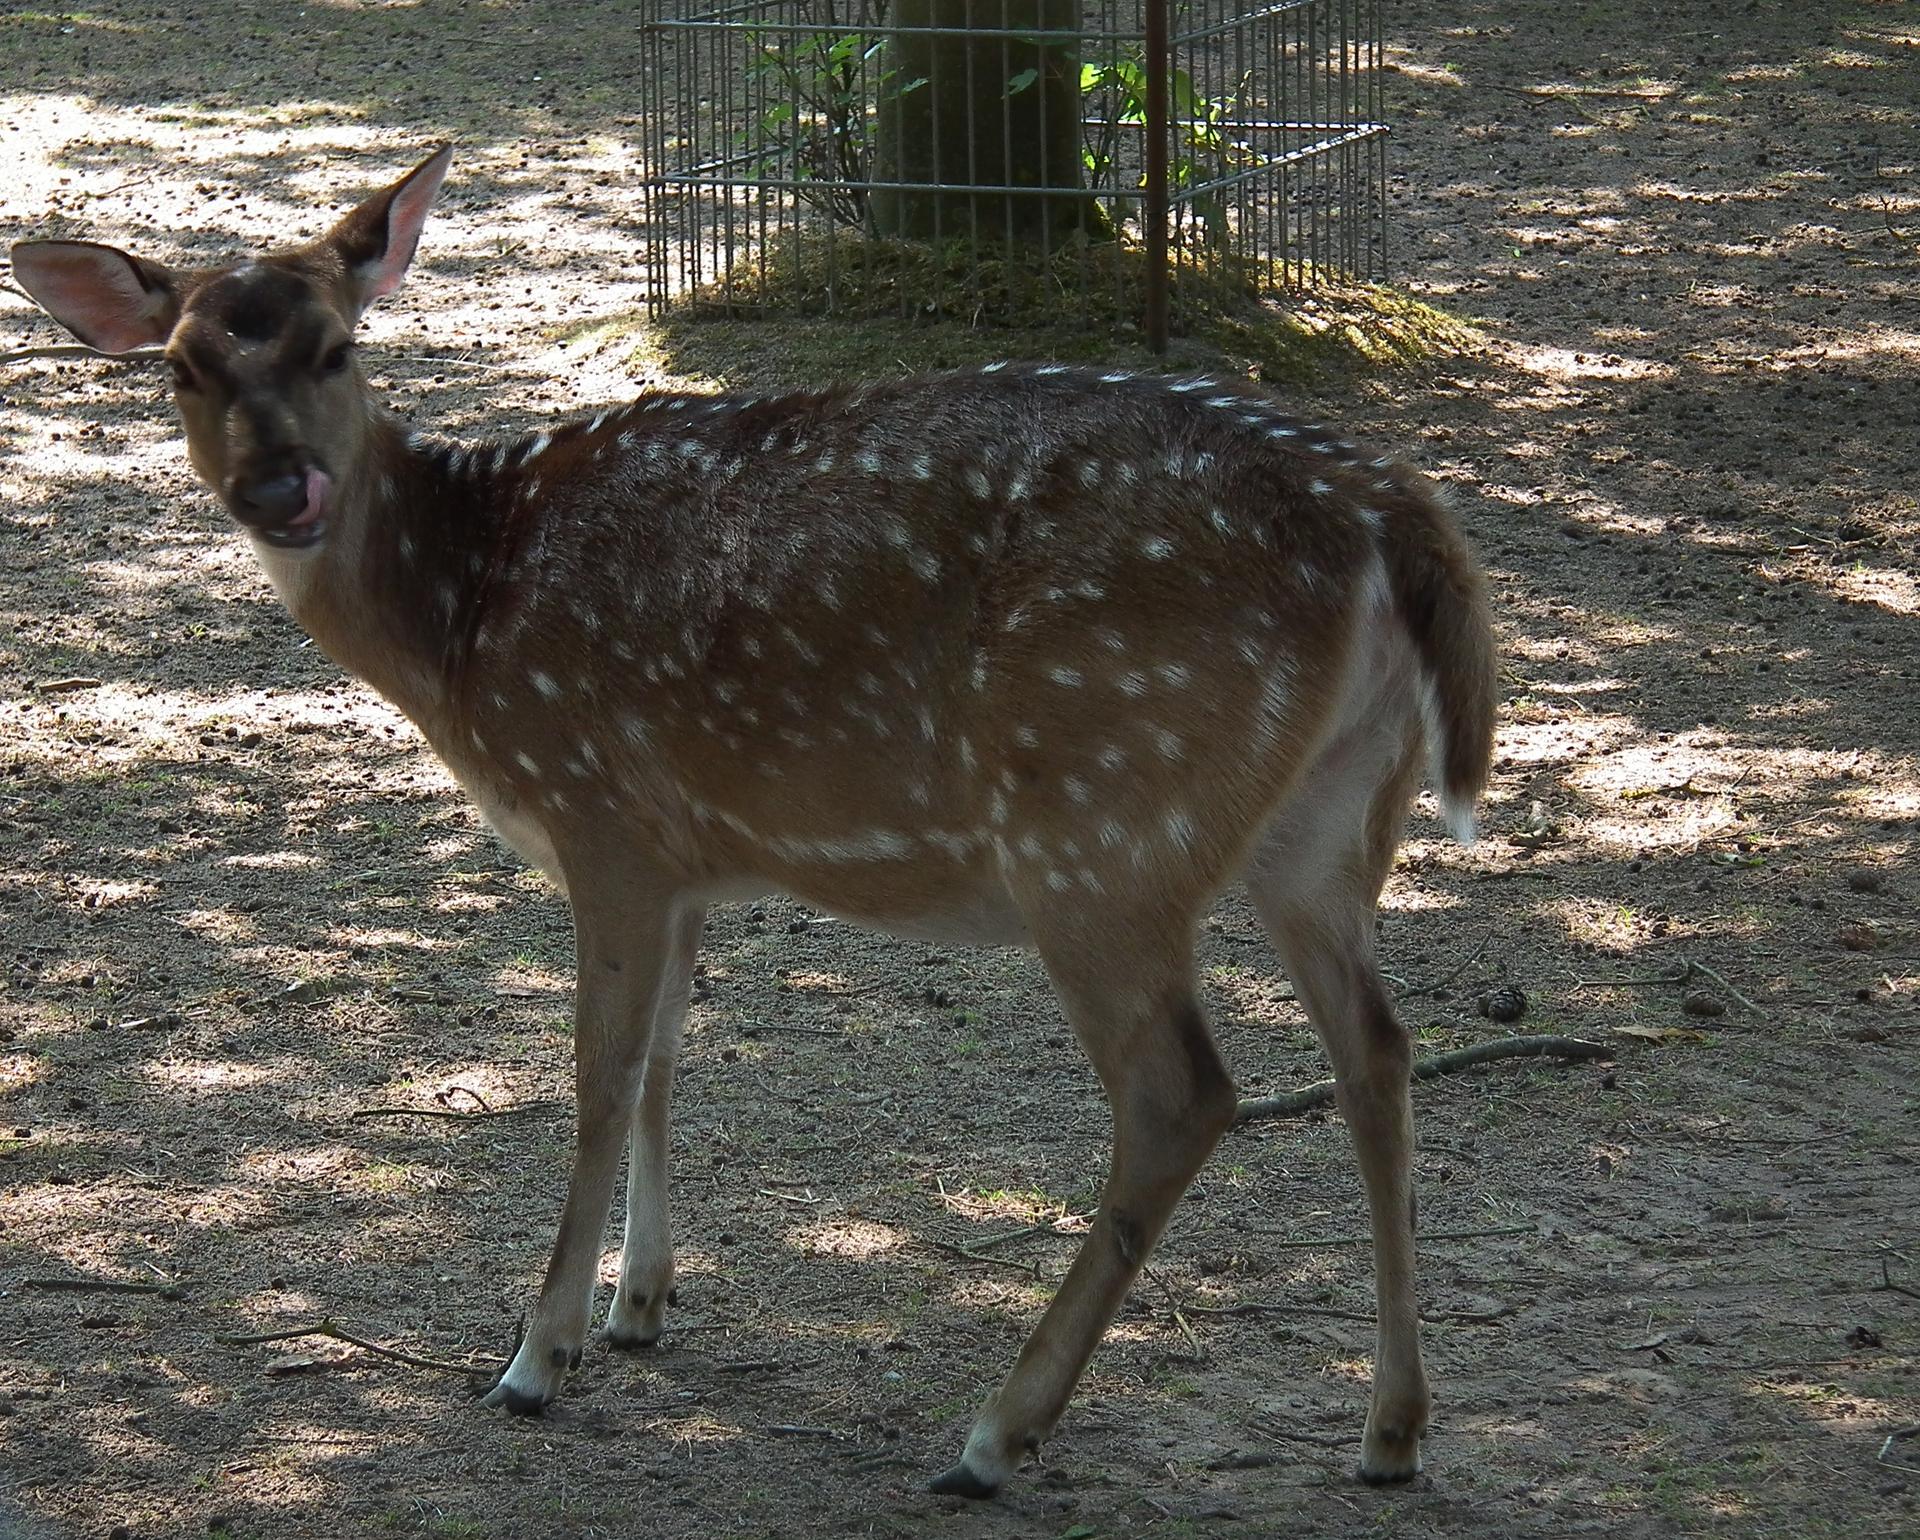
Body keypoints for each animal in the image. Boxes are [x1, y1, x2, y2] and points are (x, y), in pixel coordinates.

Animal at [11, 149, 1497, 1497]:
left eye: (334, 346)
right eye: (182, 369)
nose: (279, 492)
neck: (464, 625)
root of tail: (1391, 513)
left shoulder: (600, 812)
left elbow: (599, 1077)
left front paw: (537, 1354)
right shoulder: (684, 860)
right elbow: (671, 1065)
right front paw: (640, 1306)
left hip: (1102, 823)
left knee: (1184, 1093)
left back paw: (995, 1433)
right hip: (1326, 821)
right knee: (1379, 1051)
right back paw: (1391, 1431)